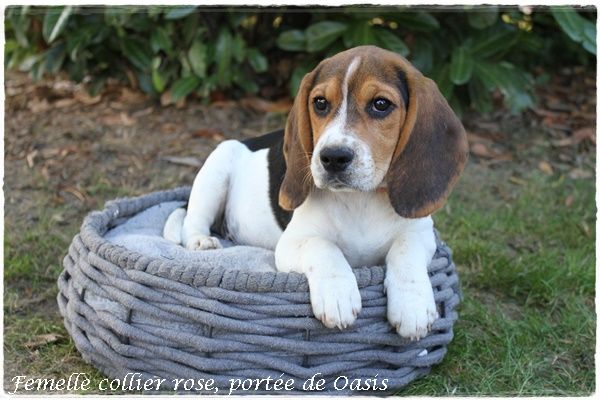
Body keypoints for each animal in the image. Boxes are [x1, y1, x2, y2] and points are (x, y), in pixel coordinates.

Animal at [164, 47, 468, 340]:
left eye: (381, 104)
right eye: (320, 103)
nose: (333, 157)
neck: (361, 199)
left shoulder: (420, 233)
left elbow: (406, 252)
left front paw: (412, 305)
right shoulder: (291, 243)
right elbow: (323, 247)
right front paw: (338, 294)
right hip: (217, 164)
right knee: (192, 220)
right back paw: (201, 241)